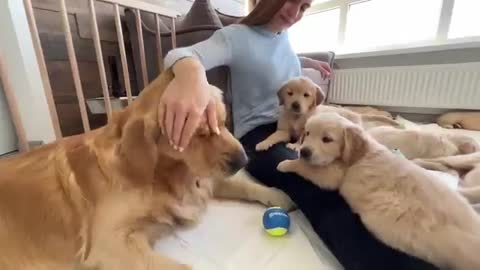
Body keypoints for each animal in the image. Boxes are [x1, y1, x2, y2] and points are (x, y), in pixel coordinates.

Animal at [0, 68, 292, 270]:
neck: (161, 173)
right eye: (200, 133)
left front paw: (277, 194)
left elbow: (245, 185)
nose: (244, 160)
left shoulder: (204, 179)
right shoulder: (109, 245)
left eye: (223, 121)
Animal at [278, 112, 480, 270]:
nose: (304, 151)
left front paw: (286, 163)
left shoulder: (332, 175)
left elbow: (307, 168)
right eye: (307, 133)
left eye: (327, 139)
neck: (359, 153)